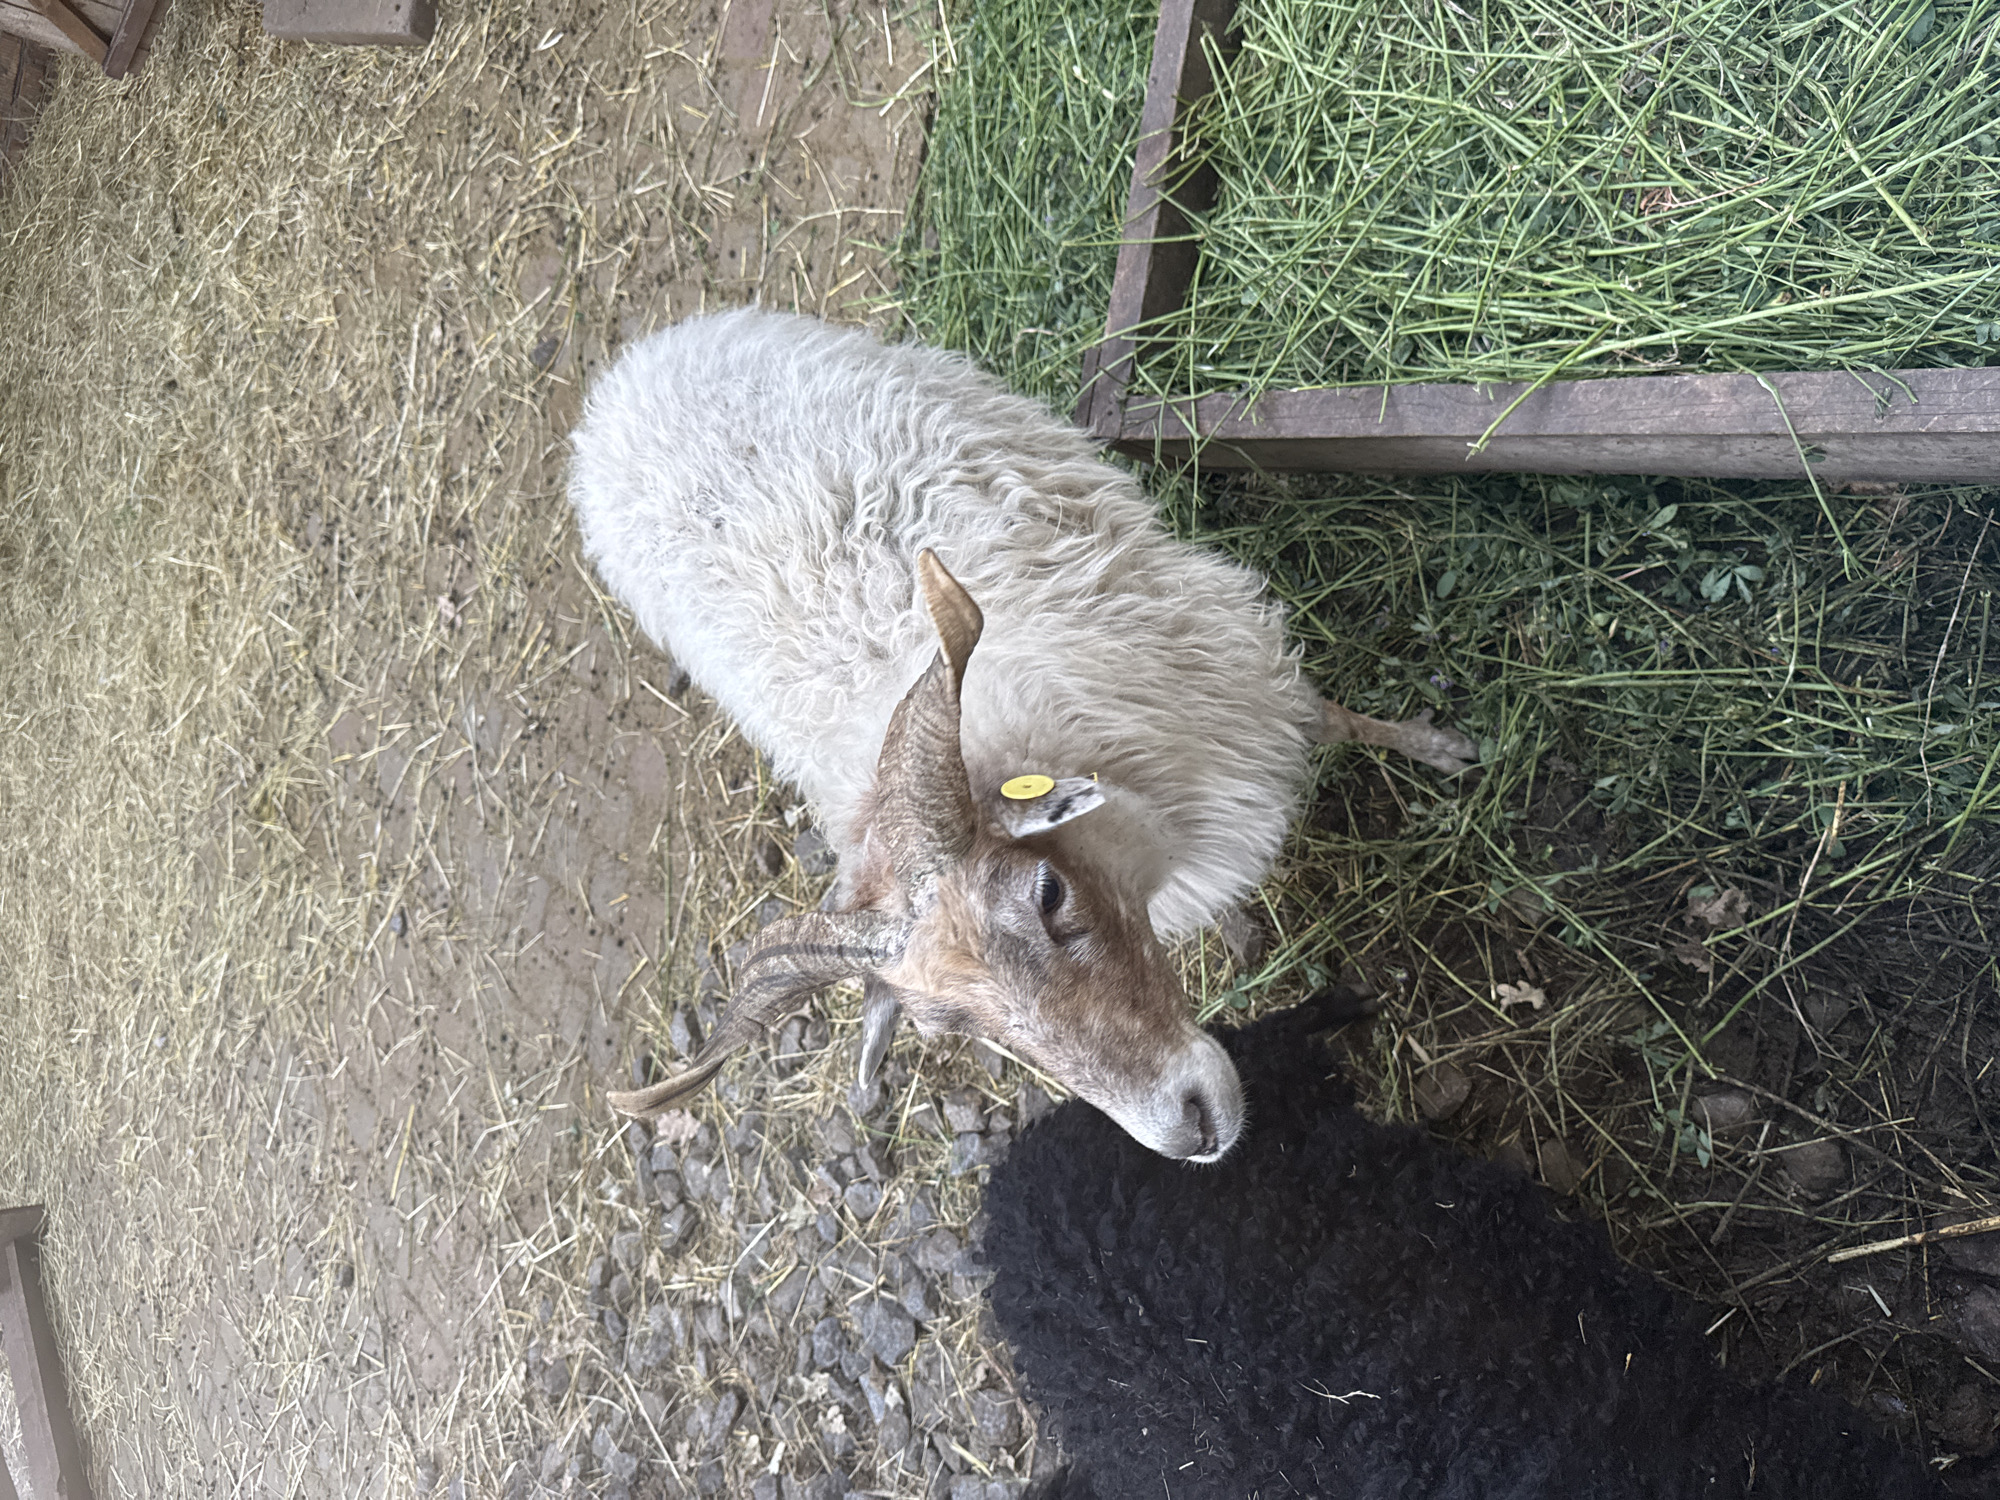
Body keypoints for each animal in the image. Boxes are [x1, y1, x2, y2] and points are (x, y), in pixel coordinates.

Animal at [565, 308, 1476, 1160]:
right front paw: (1240, 931)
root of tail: (614, 383)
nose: (1188, 1132)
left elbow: (1336, 717)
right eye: (952, 1028)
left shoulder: (1231, 682)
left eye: (1047, 892)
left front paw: (1442, 749)